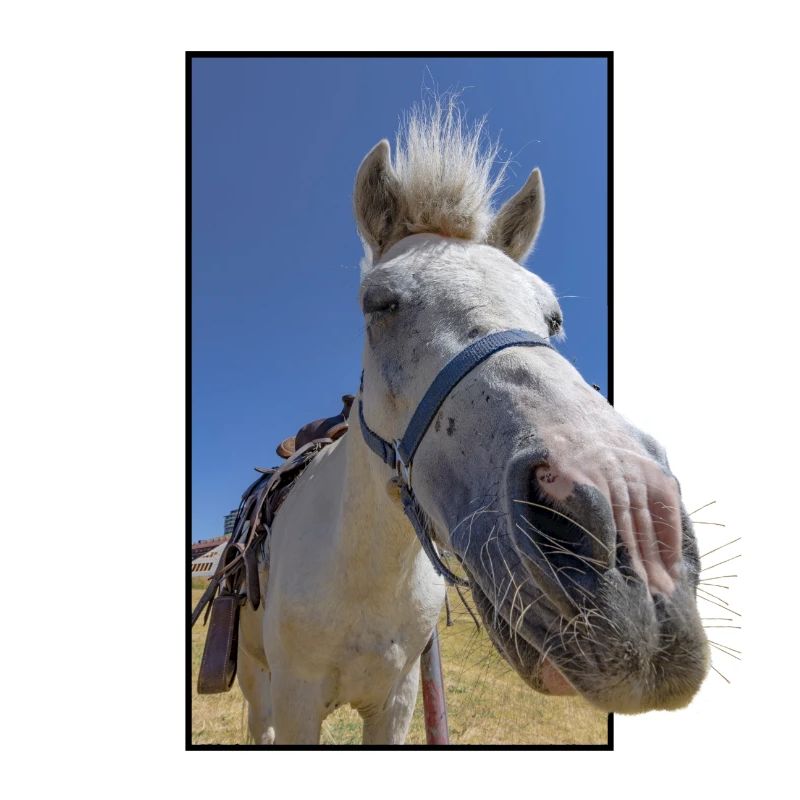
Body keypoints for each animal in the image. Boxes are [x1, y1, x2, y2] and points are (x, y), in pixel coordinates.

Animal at [234, 100, 709, 745]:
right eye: (379, 304)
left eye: (553, 318)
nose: (631, 521)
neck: (364, 575)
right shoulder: (296, 699)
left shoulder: (398, 700)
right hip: (257, 682)